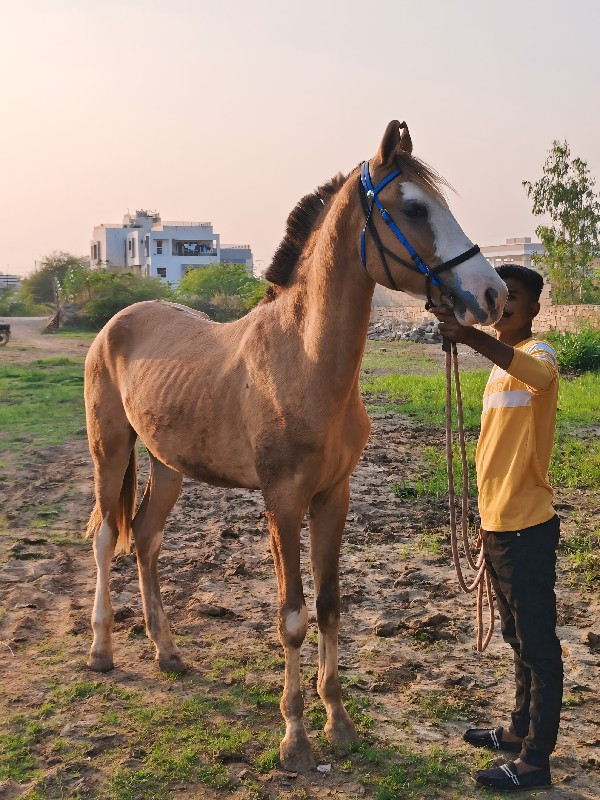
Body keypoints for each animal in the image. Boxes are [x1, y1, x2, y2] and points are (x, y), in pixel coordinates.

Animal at [84, 122, 506, 772]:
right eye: (414, 208)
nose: (492, 292)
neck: (302, 362)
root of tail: (116, 322)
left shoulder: (334, 497)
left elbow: (329, 605)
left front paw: (339, 722)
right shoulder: (282, 503)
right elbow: (291, 616)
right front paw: (295, 738)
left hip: (169, 465)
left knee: (147, 539)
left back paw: (167, 651)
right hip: (110, 450)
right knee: (109, 538)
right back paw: (103, 650)